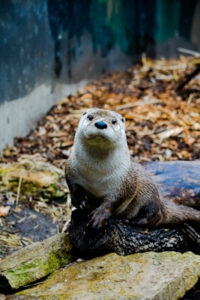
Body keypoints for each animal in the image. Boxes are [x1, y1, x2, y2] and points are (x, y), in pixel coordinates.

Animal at [65, 109, 200, 229]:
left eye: (113, 121)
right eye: (90, 117)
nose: (101, 124)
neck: (95, 173)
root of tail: (160, 199)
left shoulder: (124, 182)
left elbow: (112, 202)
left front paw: (99, 217)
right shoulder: (71, 169)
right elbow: (72, 185)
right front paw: (78, 200)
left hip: (148, 193)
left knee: (154, 215)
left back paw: (133, 221)